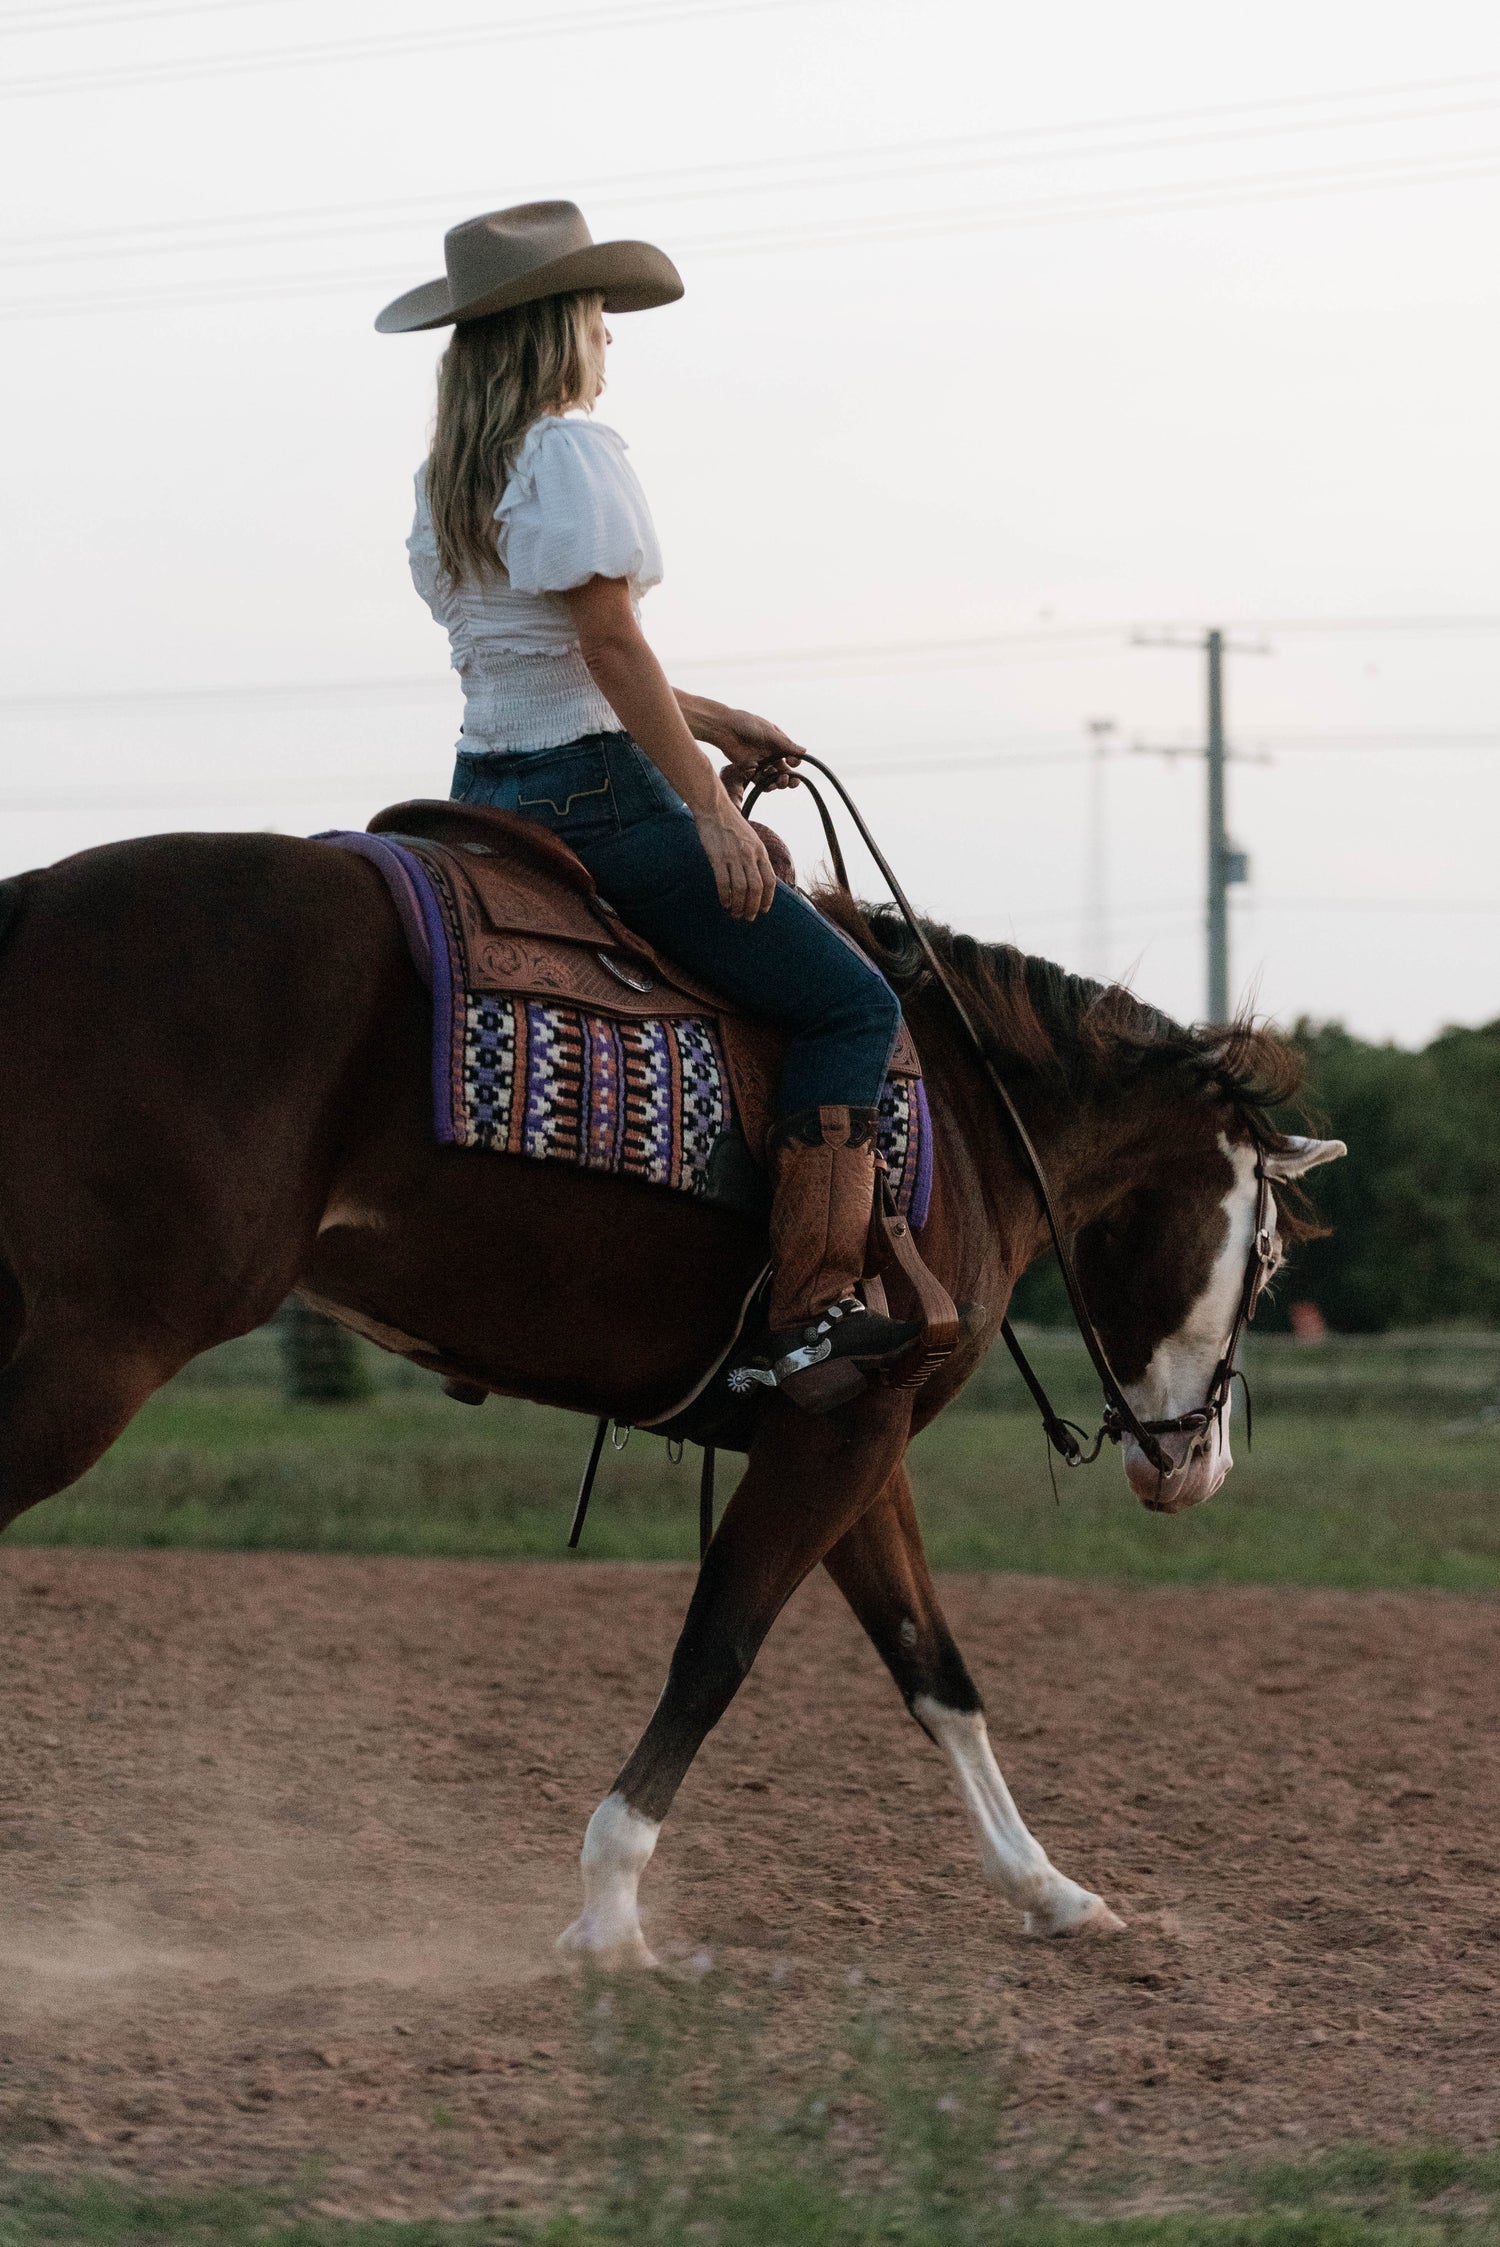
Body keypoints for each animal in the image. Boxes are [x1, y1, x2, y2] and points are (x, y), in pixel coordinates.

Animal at [0, 828, 1343, 1958]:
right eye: (1270, 1256)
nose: (1196, 1463)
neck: (968, 1123)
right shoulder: (840, 1441)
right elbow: (719, 1646)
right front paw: (608, 1917)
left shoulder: (857, 1440)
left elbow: (934, 1671)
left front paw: (1050, 1890)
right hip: (93, 1357)